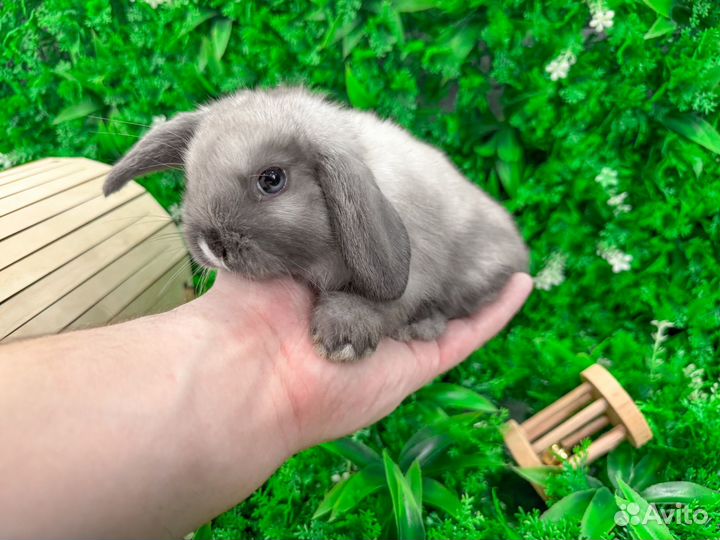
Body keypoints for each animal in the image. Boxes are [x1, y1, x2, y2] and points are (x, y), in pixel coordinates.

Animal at [103, 86, 529, 362]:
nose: (211, 245)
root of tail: (520, 250)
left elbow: (384, 301)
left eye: (272, 179)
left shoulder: (415, 270)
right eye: (191, 176)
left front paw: (343, 335)